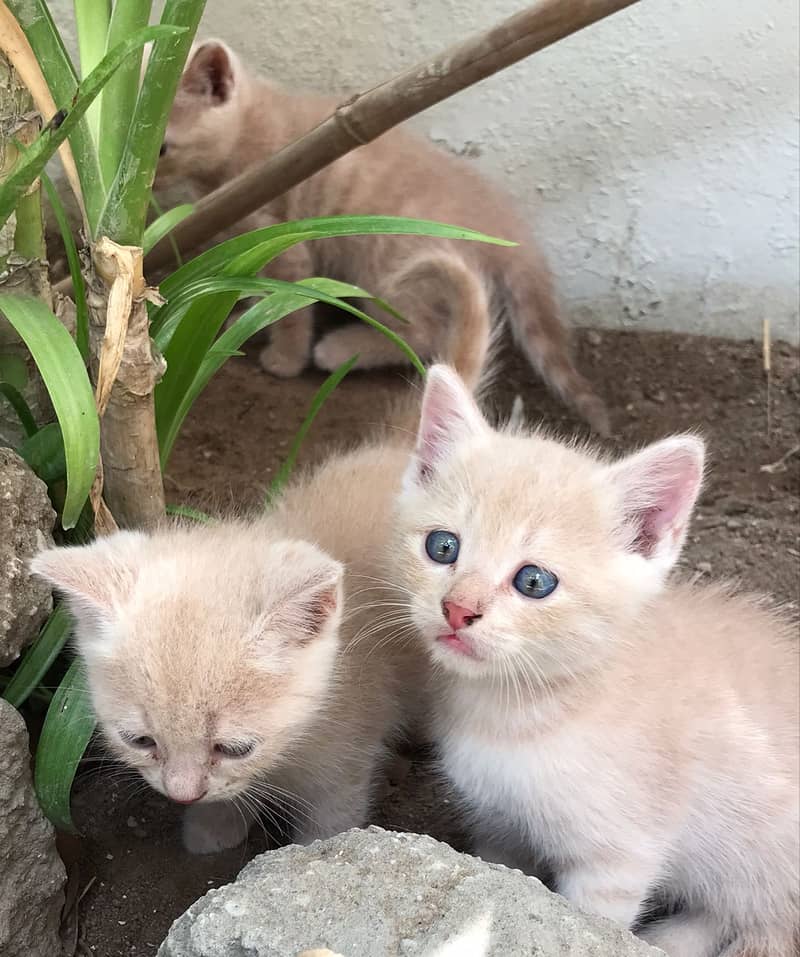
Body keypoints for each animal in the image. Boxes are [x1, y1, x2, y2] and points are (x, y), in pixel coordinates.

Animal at [28, 508, 422, 860]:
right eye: (139, 741)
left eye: (235, 749)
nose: (182, 794)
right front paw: (214, 822)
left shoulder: (350, 753)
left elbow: (333, 820)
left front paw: (316, 852)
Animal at [155, 40, 608, 434]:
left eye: (161, 149)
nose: (148, 182)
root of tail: (507, 225)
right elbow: (263, 292)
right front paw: (248, 317)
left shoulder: (282, 236)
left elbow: (294, 306)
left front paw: (284, 358)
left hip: (391, 263)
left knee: (423, 333)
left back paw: (339, 349)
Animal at [392, 364, 800, 956]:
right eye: (443, 547)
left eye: (534, 581)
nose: (457, 608)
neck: (512, 714)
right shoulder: (499, 829)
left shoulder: (619, 857)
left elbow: (589, 925)